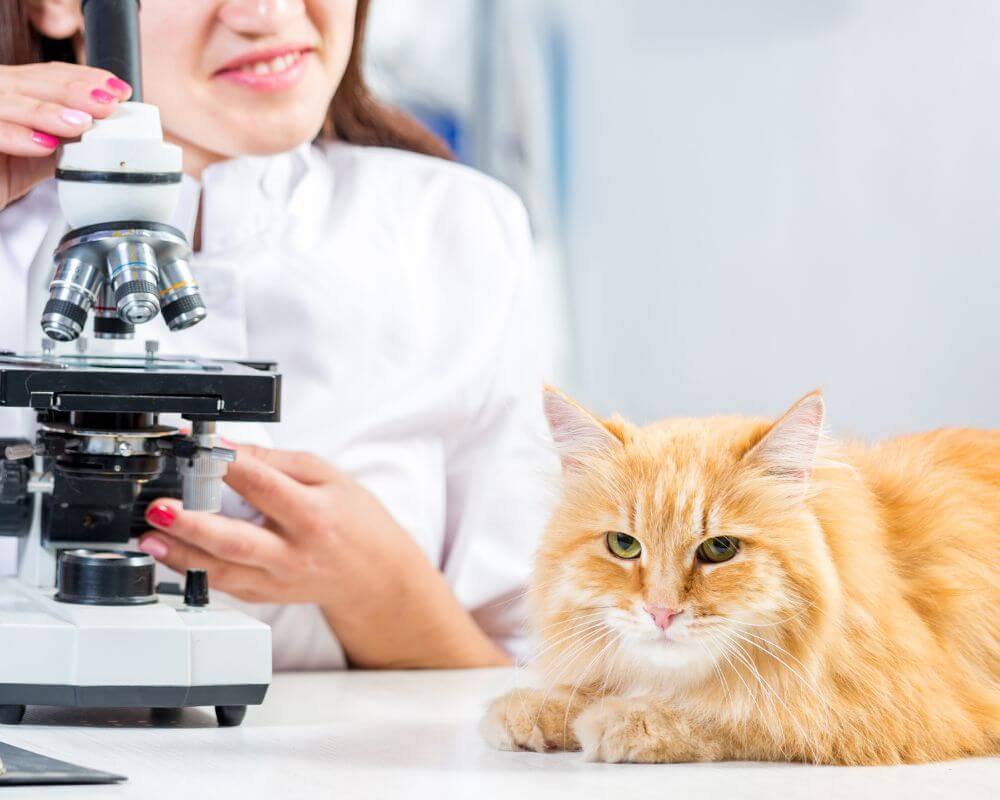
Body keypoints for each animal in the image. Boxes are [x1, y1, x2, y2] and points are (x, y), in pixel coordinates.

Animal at [480, 390, 996, 764]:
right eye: (624, 545)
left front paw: (619, 720)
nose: (661, 612)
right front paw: (539, 707)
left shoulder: (905, 708)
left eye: (719, 549)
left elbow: (743, 712)